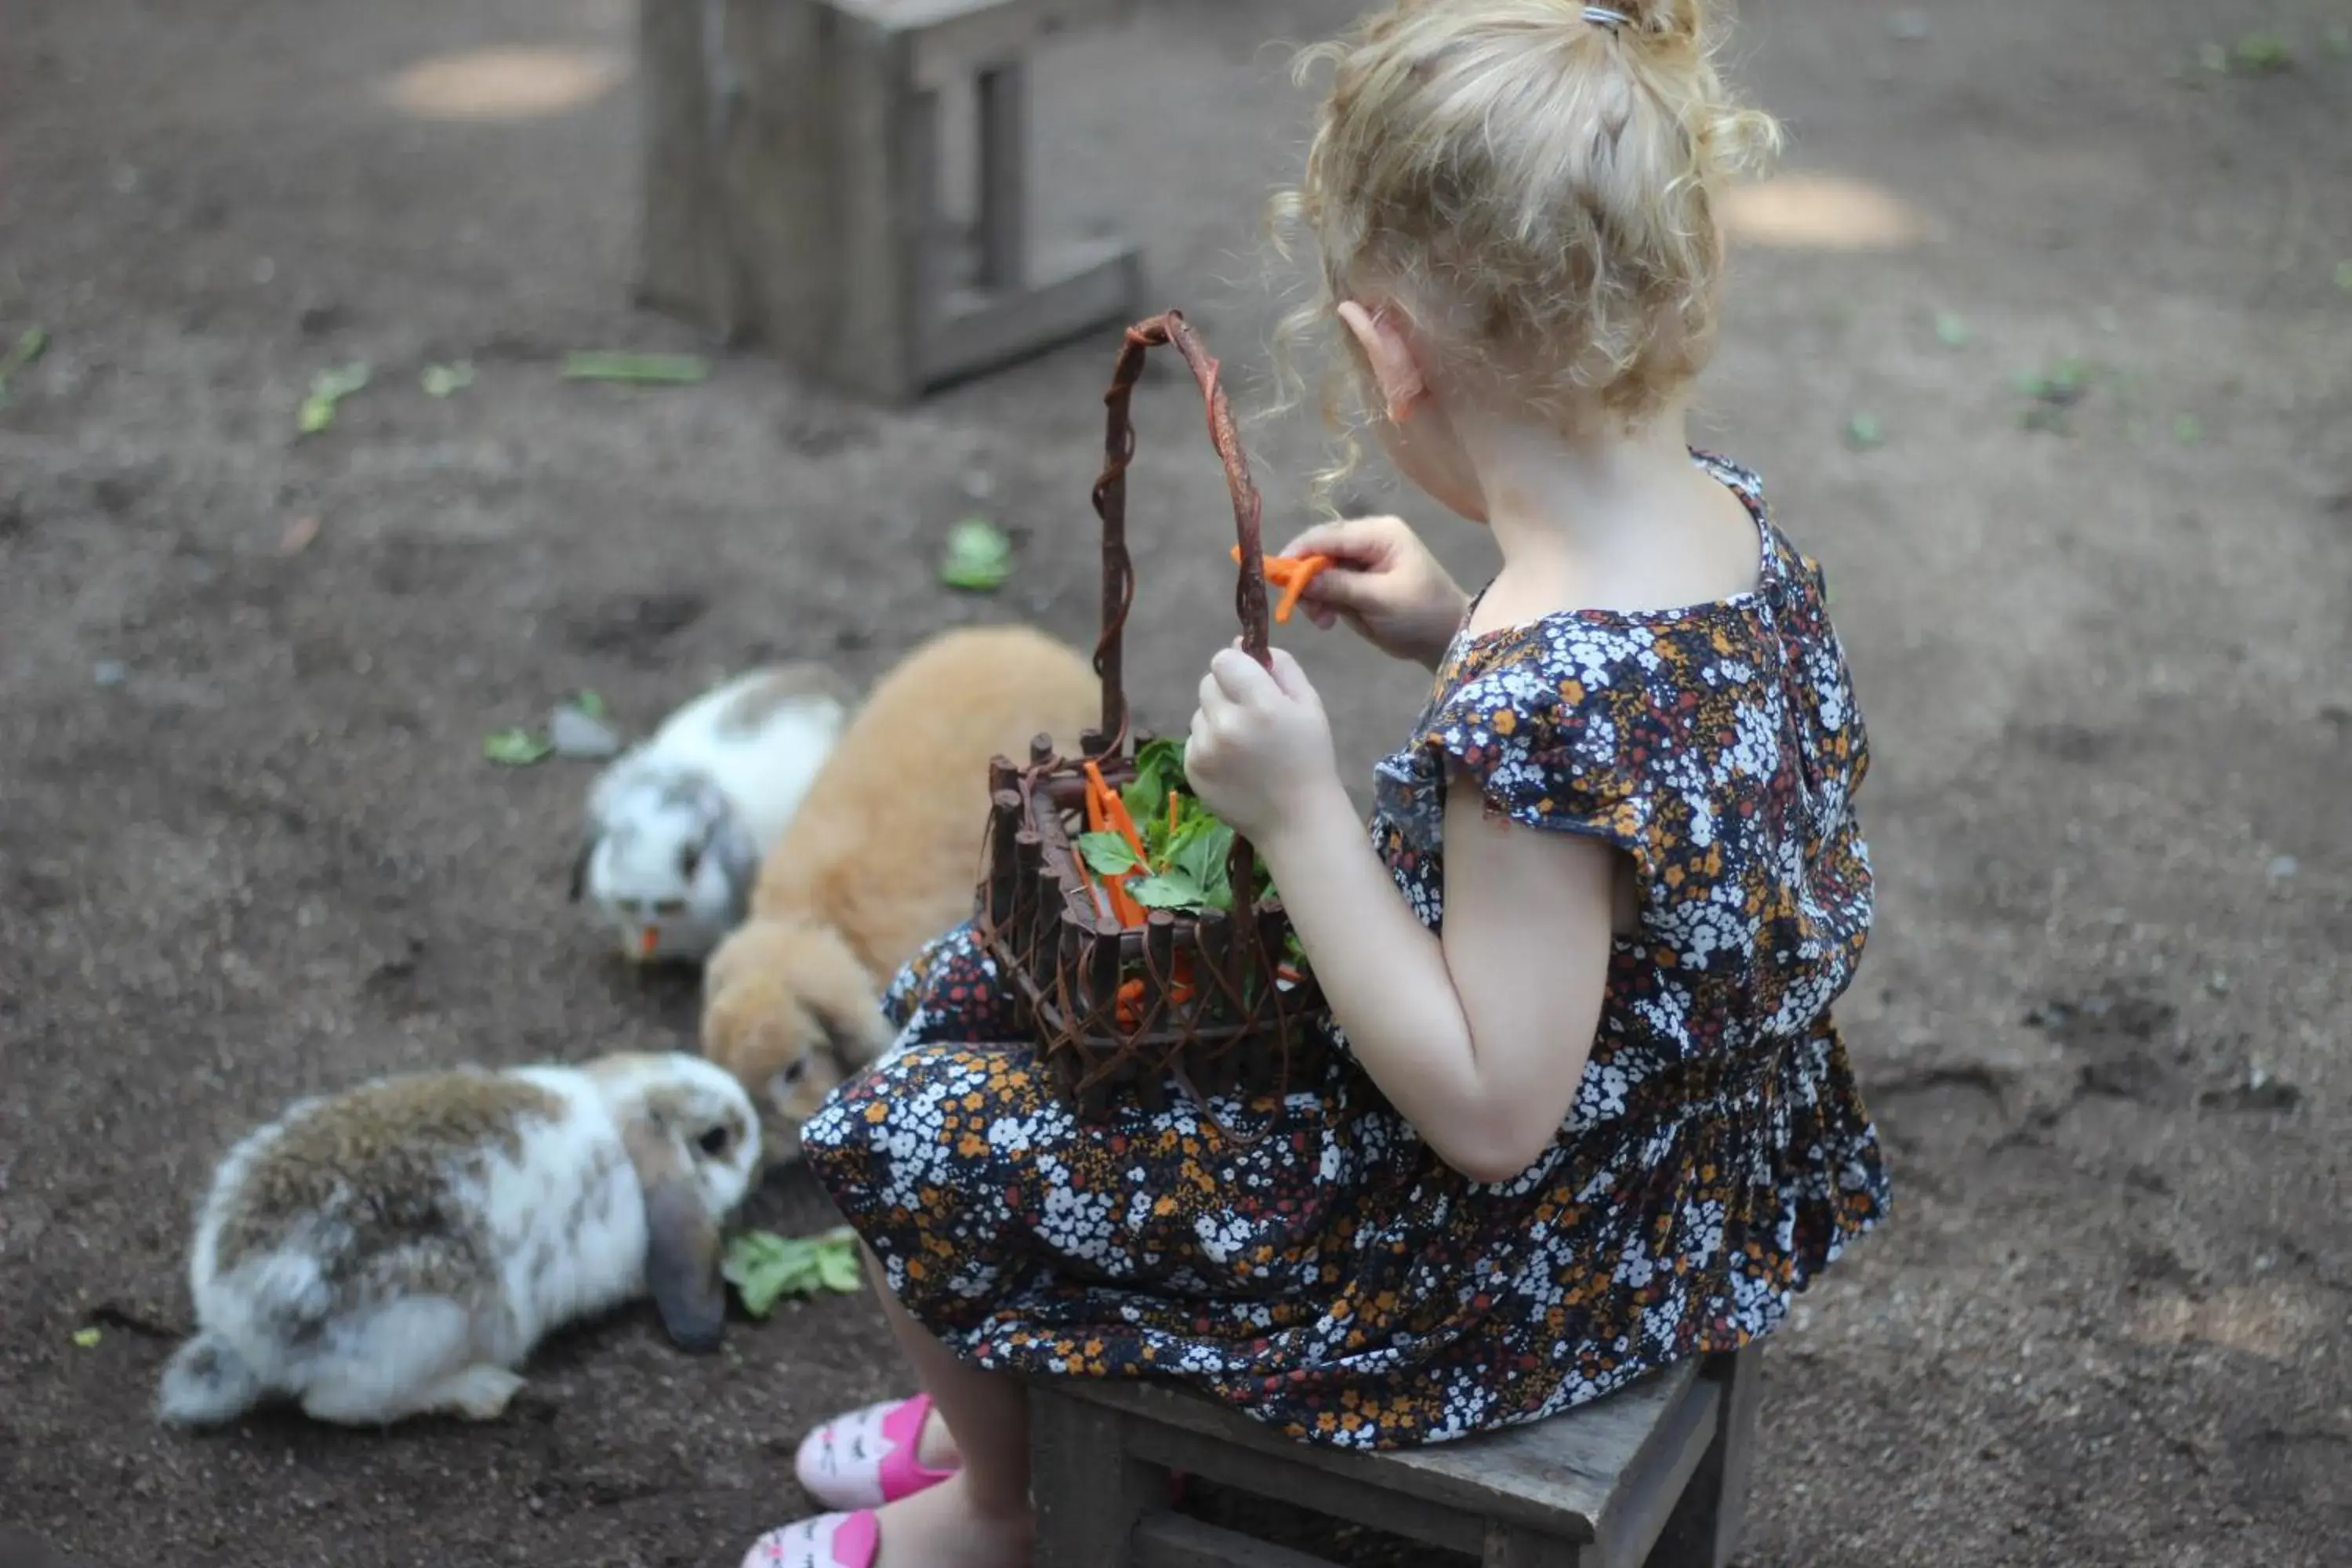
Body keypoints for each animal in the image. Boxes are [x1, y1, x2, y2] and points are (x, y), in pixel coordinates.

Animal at [156, 1048, 757, 1429]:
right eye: (717, 1139)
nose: (760, 1134)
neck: (619, 1122)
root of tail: (241, 1328)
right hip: (433, 1320)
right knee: (334, 1407)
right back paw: (482, 1391)